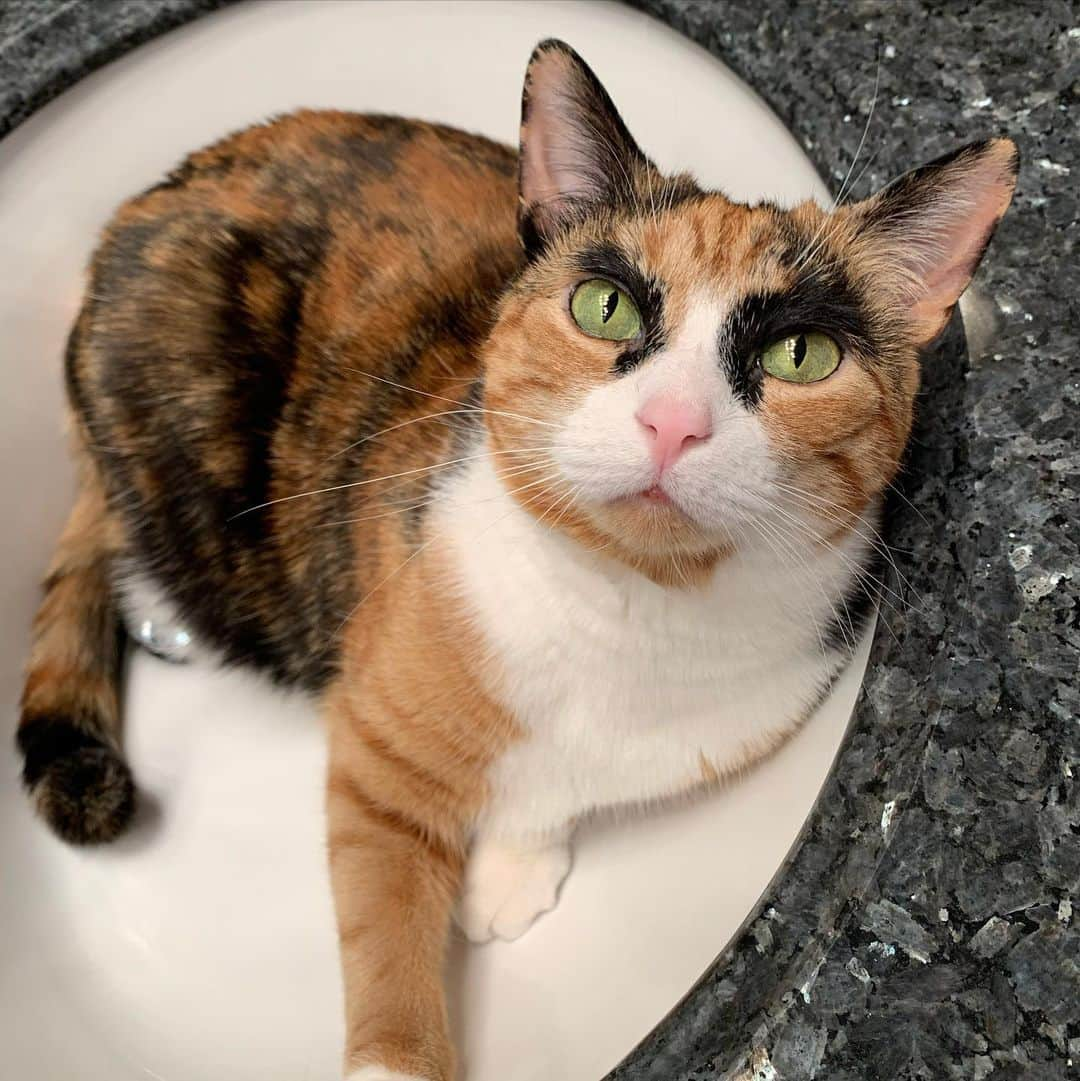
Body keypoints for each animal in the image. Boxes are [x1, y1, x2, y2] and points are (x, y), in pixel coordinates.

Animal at [14, 38, 1011, 1081]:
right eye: (605, 305)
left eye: (801, 354)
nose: (673, 423)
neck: (628, 612)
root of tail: (154, 195)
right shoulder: (374, 743)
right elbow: (389, 925)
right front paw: (400, 1045)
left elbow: (553, 790)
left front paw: (511, 866)